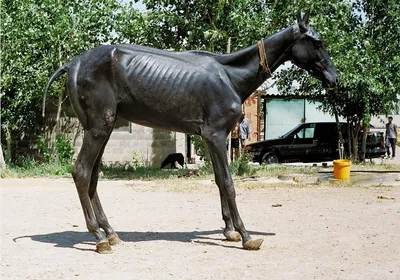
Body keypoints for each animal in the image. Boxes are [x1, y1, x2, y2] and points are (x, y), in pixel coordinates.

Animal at [43, 10, 338, 254]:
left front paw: (229, 230)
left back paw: (111, 233)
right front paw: (245, 235)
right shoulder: (217, 136)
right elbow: (228, 183)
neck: (229, 76)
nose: (334, 79)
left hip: (101, 129)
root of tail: (73, 64)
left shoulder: (209, 138)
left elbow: (218, 180)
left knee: (92, 177)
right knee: (81, 172)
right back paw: (99, 238)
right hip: (98, 128)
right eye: (317, 42)